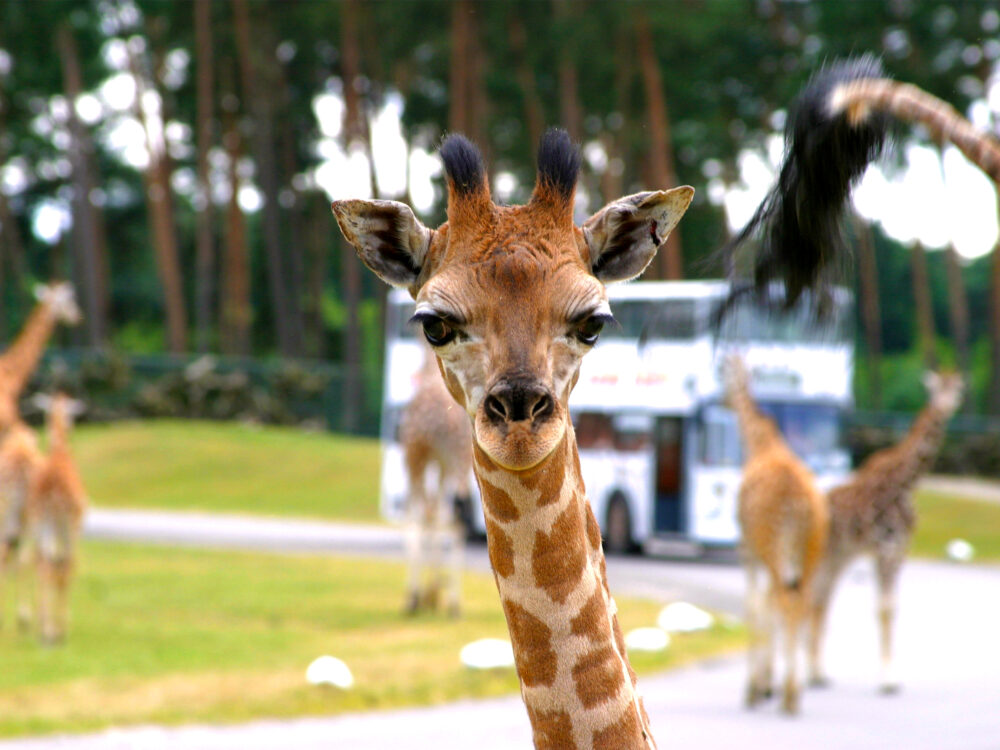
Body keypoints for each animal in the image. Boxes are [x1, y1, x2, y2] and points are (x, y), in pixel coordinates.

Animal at [396, 346, 474, 616]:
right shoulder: (443, 464)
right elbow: (437, 513)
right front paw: (433, 594)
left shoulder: (415, 456)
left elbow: (420, 516)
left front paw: (421, 596)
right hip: (461, 461)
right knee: (457, 514)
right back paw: (453, 603)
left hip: (420, 456)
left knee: (427, 513)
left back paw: (423, 598)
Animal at [728, 356, 828, 720]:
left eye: (722, 371)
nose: (720, 399)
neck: (760, 443)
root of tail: (798, 506)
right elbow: (768, 605)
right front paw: (765, 683)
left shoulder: (748, 550)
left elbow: (754, 605)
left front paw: (755, 689)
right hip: (810, 551)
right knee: (801, 602)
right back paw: (792, 692)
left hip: (773, 550)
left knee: (785, 602)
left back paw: (787, 695)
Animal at [808, 374, 964, 696]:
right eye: (936, 389)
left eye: (958, 389)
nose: (946, 406)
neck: (905, 485)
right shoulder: (883, 547)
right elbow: (883, 609)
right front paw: (887, 681)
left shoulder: (899, 548)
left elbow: (891, 607)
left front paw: (892, 678)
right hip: (823, 554)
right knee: (810, 599)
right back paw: (807, 675)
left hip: (839, 557)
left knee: (821, 600)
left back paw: (818, 674)